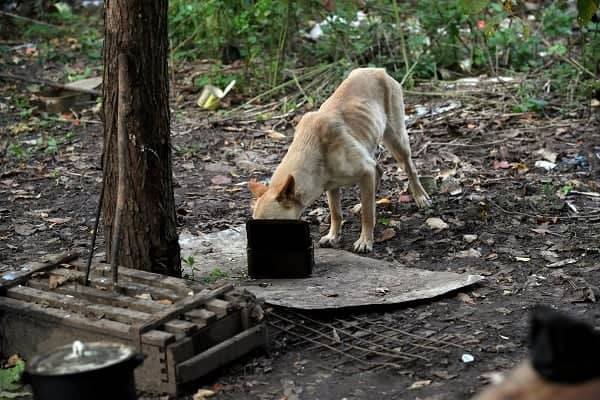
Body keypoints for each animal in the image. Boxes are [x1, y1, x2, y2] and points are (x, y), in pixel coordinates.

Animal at [248, 67, 432, 252]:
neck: (312, 147)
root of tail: (377, 70)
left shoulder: (365, 171)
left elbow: (367, 215)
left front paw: (365, 240)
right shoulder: (332, 186)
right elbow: (336, 213)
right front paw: (333, 236)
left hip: (396, 140)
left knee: (409, 168)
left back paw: (420, 196)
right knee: (378, 171)